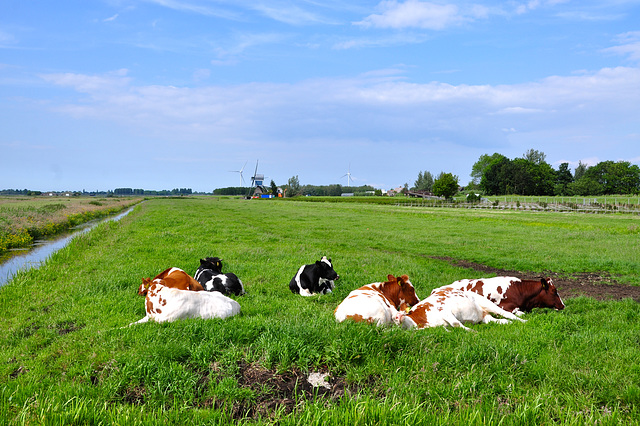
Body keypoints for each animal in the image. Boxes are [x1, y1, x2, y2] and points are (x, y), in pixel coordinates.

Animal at [396, 286, 524, 332]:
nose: (398, 317)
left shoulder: (443, 310)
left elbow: (456, 323)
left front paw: (472, 331)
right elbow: (455, 325)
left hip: (486, 303)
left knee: (507, 314)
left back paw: (524, 321)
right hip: (484, 315)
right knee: (500, 321)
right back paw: (509, 323)